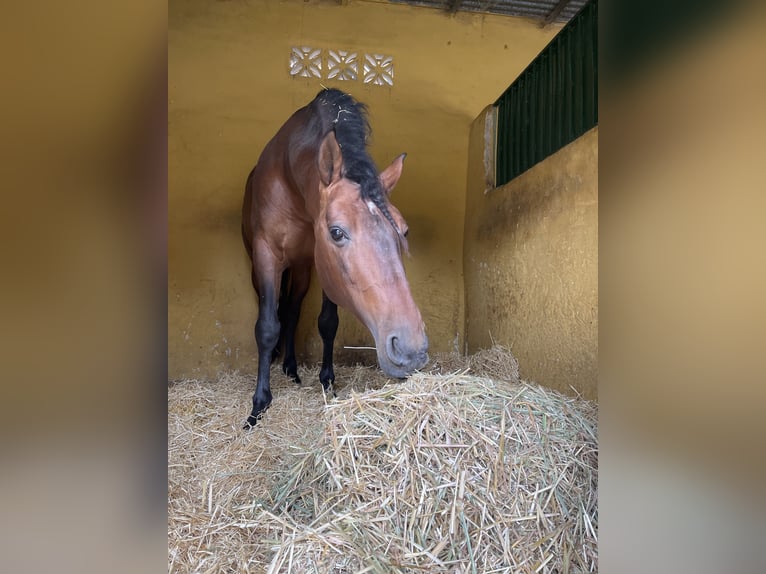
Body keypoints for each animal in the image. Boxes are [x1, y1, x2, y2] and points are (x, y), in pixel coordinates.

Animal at [241, 88, 429, 427]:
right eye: (337, 232)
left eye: (404, 230)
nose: (411, 351)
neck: (290, 179)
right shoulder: (266, 255)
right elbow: (267, 326)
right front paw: (259, 404)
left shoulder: (321, 264)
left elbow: (327, 323)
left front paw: (327, 380)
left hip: (303, 269)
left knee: (292, 310)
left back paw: (291, 367)